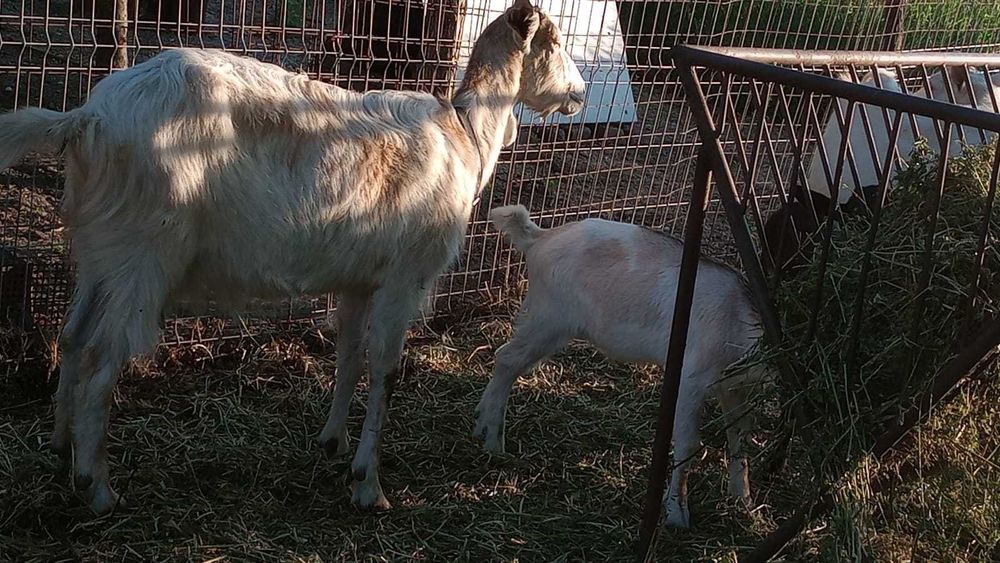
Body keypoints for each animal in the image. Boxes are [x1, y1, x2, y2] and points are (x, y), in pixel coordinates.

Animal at [0, 0, 586, 515]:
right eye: (555, 42)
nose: (580, 94)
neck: (466, 137)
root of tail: (87, 119)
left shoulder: (359, 280)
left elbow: (348, 356)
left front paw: (333, 442)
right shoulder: (404, 277)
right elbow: (386, 370)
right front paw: (368, 485)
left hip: (101, 251)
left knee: (72, 337)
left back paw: (60, 448)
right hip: (145, 254)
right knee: (102, 359)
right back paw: (97, 487)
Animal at [476, 205, 770, 528]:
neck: (739, 317)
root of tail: (539, 238)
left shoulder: (735, 387)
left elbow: (740, 437)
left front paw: (743, 502)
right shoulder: (691, 379)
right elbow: (689, 445)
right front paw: (677, 515)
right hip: (548, 319)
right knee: (506, 359)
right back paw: (493, 441)